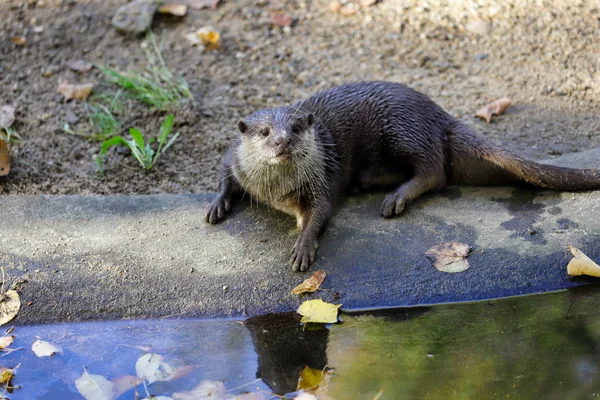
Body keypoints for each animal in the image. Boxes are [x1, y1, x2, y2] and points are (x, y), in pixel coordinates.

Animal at [205, 83, 600, 274]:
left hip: (400, 127)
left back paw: (397, 196)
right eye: (264, 132)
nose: (282, 140)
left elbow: (320, 212)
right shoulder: (235, 160)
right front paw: (216, 205)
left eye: (298, 128)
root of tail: (438, 113)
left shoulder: (322, 179)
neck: (276, 191)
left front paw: (303, 246)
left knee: (434, 170)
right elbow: (224, 172)